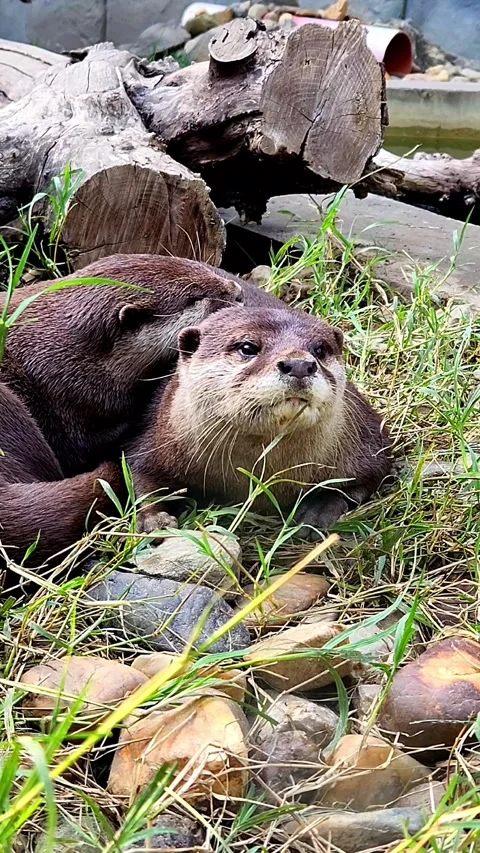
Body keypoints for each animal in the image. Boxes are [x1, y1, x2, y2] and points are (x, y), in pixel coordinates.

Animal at [129, 308, 392, 538]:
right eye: (247, 347)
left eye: (319, 350)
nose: (299, 364)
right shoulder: (157, 439)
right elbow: (140, 476)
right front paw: (155, 519)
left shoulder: (368, 445)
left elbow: (363, 481)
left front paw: (317, 510)